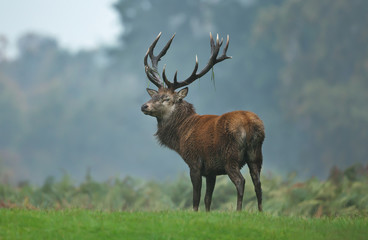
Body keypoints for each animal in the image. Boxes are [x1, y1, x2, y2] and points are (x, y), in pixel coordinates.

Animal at [141, 32, 264, 211]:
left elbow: (196, 197)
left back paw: (238, 211)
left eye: (166, 98)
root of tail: (250, 124)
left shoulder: (194, 162)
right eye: (154, 95)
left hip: (231, 156)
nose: (144, 106)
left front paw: (194, 212)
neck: (181, 135)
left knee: (241, 181)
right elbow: (207, 199)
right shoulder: (211, 170)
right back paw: (260, 212)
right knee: (258, 183)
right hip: (256, 154)